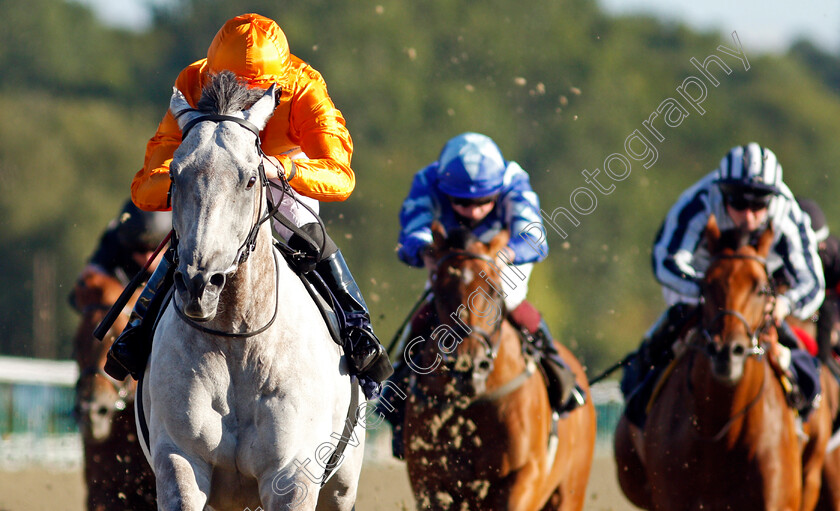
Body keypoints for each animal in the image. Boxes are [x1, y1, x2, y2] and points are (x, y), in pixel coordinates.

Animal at [136, 76, 366, 511]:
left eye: (250, 179)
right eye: (175, 175)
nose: (199, 284)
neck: (238, 342)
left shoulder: (292, 473)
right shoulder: (180, 458)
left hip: (342, 483)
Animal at [402, 225, 592, 511]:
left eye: (493, 289)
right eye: (440, 289)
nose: (469, 365)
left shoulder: (525, 474)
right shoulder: (429, 481)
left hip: (570, 492)